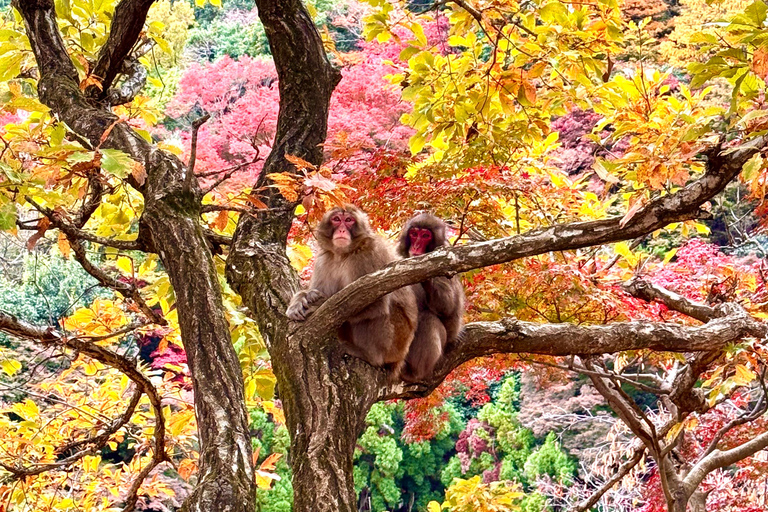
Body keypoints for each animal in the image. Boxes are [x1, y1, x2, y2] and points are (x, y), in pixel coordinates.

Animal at [288, 204, 420, 376]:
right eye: (337, 219)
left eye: (349, 220)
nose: (342, 230)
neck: (343, 254)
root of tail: (400, 358)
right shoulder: (324, 259)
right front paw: (299, 300)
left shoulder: (368, 255)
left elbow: (376, 304)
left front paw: (313, 305)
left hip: (395, 340)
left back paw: (369, 356)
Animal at [400, 212, 464, 380]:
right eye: (414, 234)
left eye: (425, 236)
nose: (416, 247)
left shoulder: (445, 259)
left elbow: (448, 306)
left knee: (429, 319)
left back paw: (414, 371)